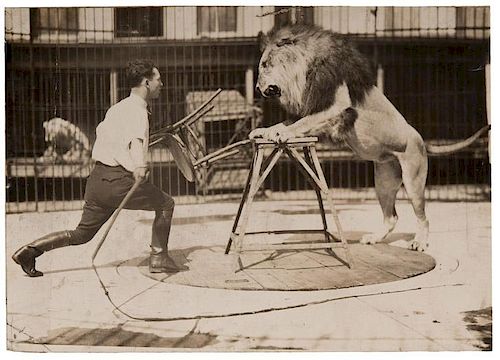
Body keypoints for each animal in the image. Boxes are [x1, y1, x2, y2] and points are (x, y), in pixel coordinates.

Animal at [250, 23, 488, 252]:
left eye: (265, 65)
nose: (257, 88)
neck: (303, 73)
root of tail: (421, 139)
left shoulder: (336, 106)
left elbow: (302, 123)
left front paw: (282, 132)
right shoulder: (316, 108)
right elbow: (290, 122)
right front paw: (264, 130)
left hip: (413, 180)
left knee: (423, 217)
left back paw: (419, 243)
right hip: (383, 181)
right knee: (391, 217)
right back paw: (374, 238)